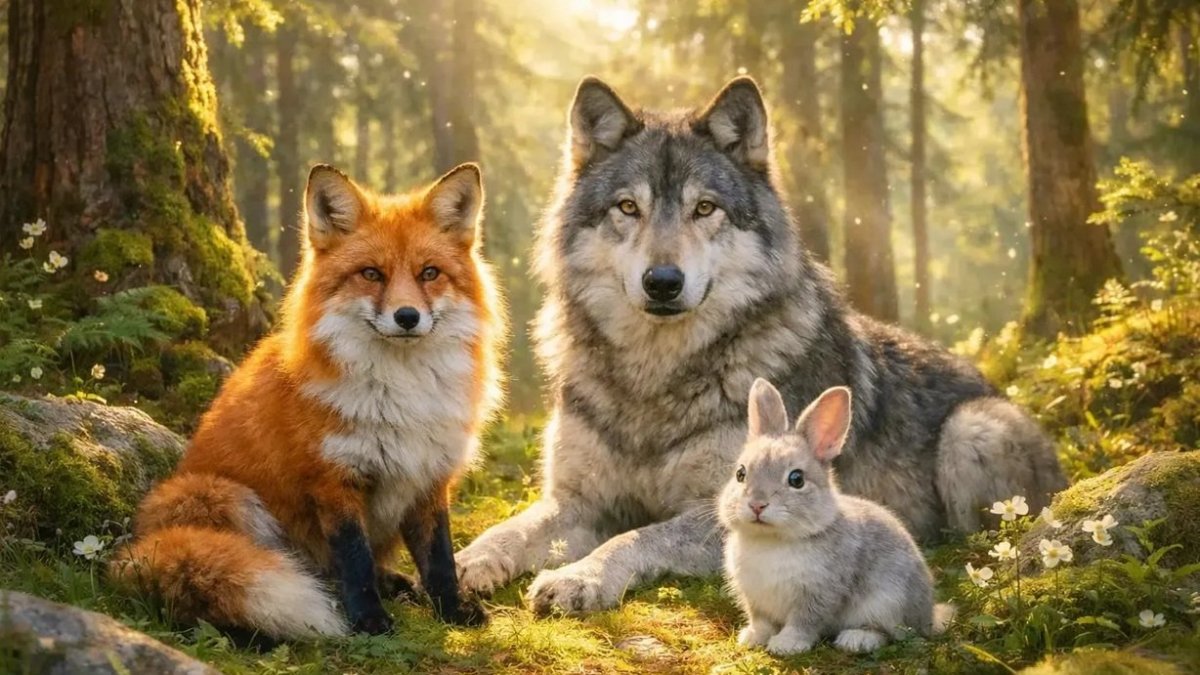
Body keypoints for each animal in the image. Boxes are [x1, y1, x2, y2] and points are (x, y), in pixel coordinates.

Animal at [455, 76, 1066, 615]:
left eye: (705, 208)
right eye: (628, 208)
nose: (663, 281)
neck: (654, 378)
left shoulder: (733, 505)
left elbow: (637, 537)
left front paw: (577, 577)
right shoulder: (577, 502)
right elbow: (509, 529)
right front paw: (462, 563)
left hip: (972, 430)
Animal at [718, 379, 953, 655]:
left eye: (796, 479)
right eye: (740, 474)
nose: (757, 505)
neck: (773, 539)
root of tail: (929, 617)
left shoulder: (819, 594)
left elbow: (804, 622)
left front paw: (786, 645)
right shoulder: (755, 599)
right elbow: (761, 621)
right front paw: (752, 637)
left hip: (887, 601)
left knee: (890, 632)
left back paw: (856, 639)